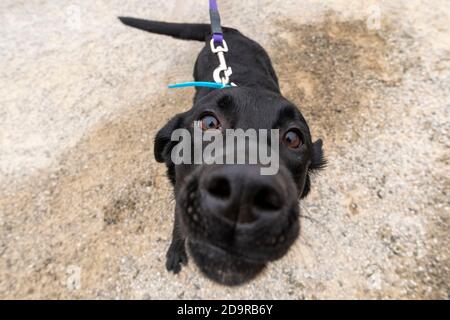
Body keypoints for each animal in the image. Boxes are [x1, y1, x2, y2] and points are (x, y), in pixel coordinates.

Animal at [118, 16, 324, 284]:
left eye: (292, 138)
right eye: (208, 123)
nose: (243, 190)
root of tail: (225, 32)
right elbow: (178, 222)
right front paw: (175, 251)